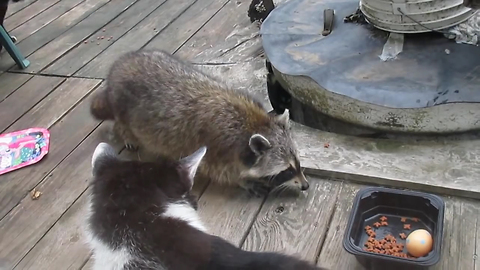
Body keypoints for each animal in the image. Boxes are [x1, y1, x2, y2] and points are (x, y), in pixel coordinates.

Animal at [89, 49, 308, 196]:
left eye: (298, 162)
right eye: (287, 170)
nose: (305, 185)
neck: (254, 124)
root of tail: (117, 69)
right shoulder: (216, 149)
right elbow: (221, 172)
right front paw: (243, 180)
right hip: (122, 105)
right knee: (123, 123)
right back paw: (125, 133)